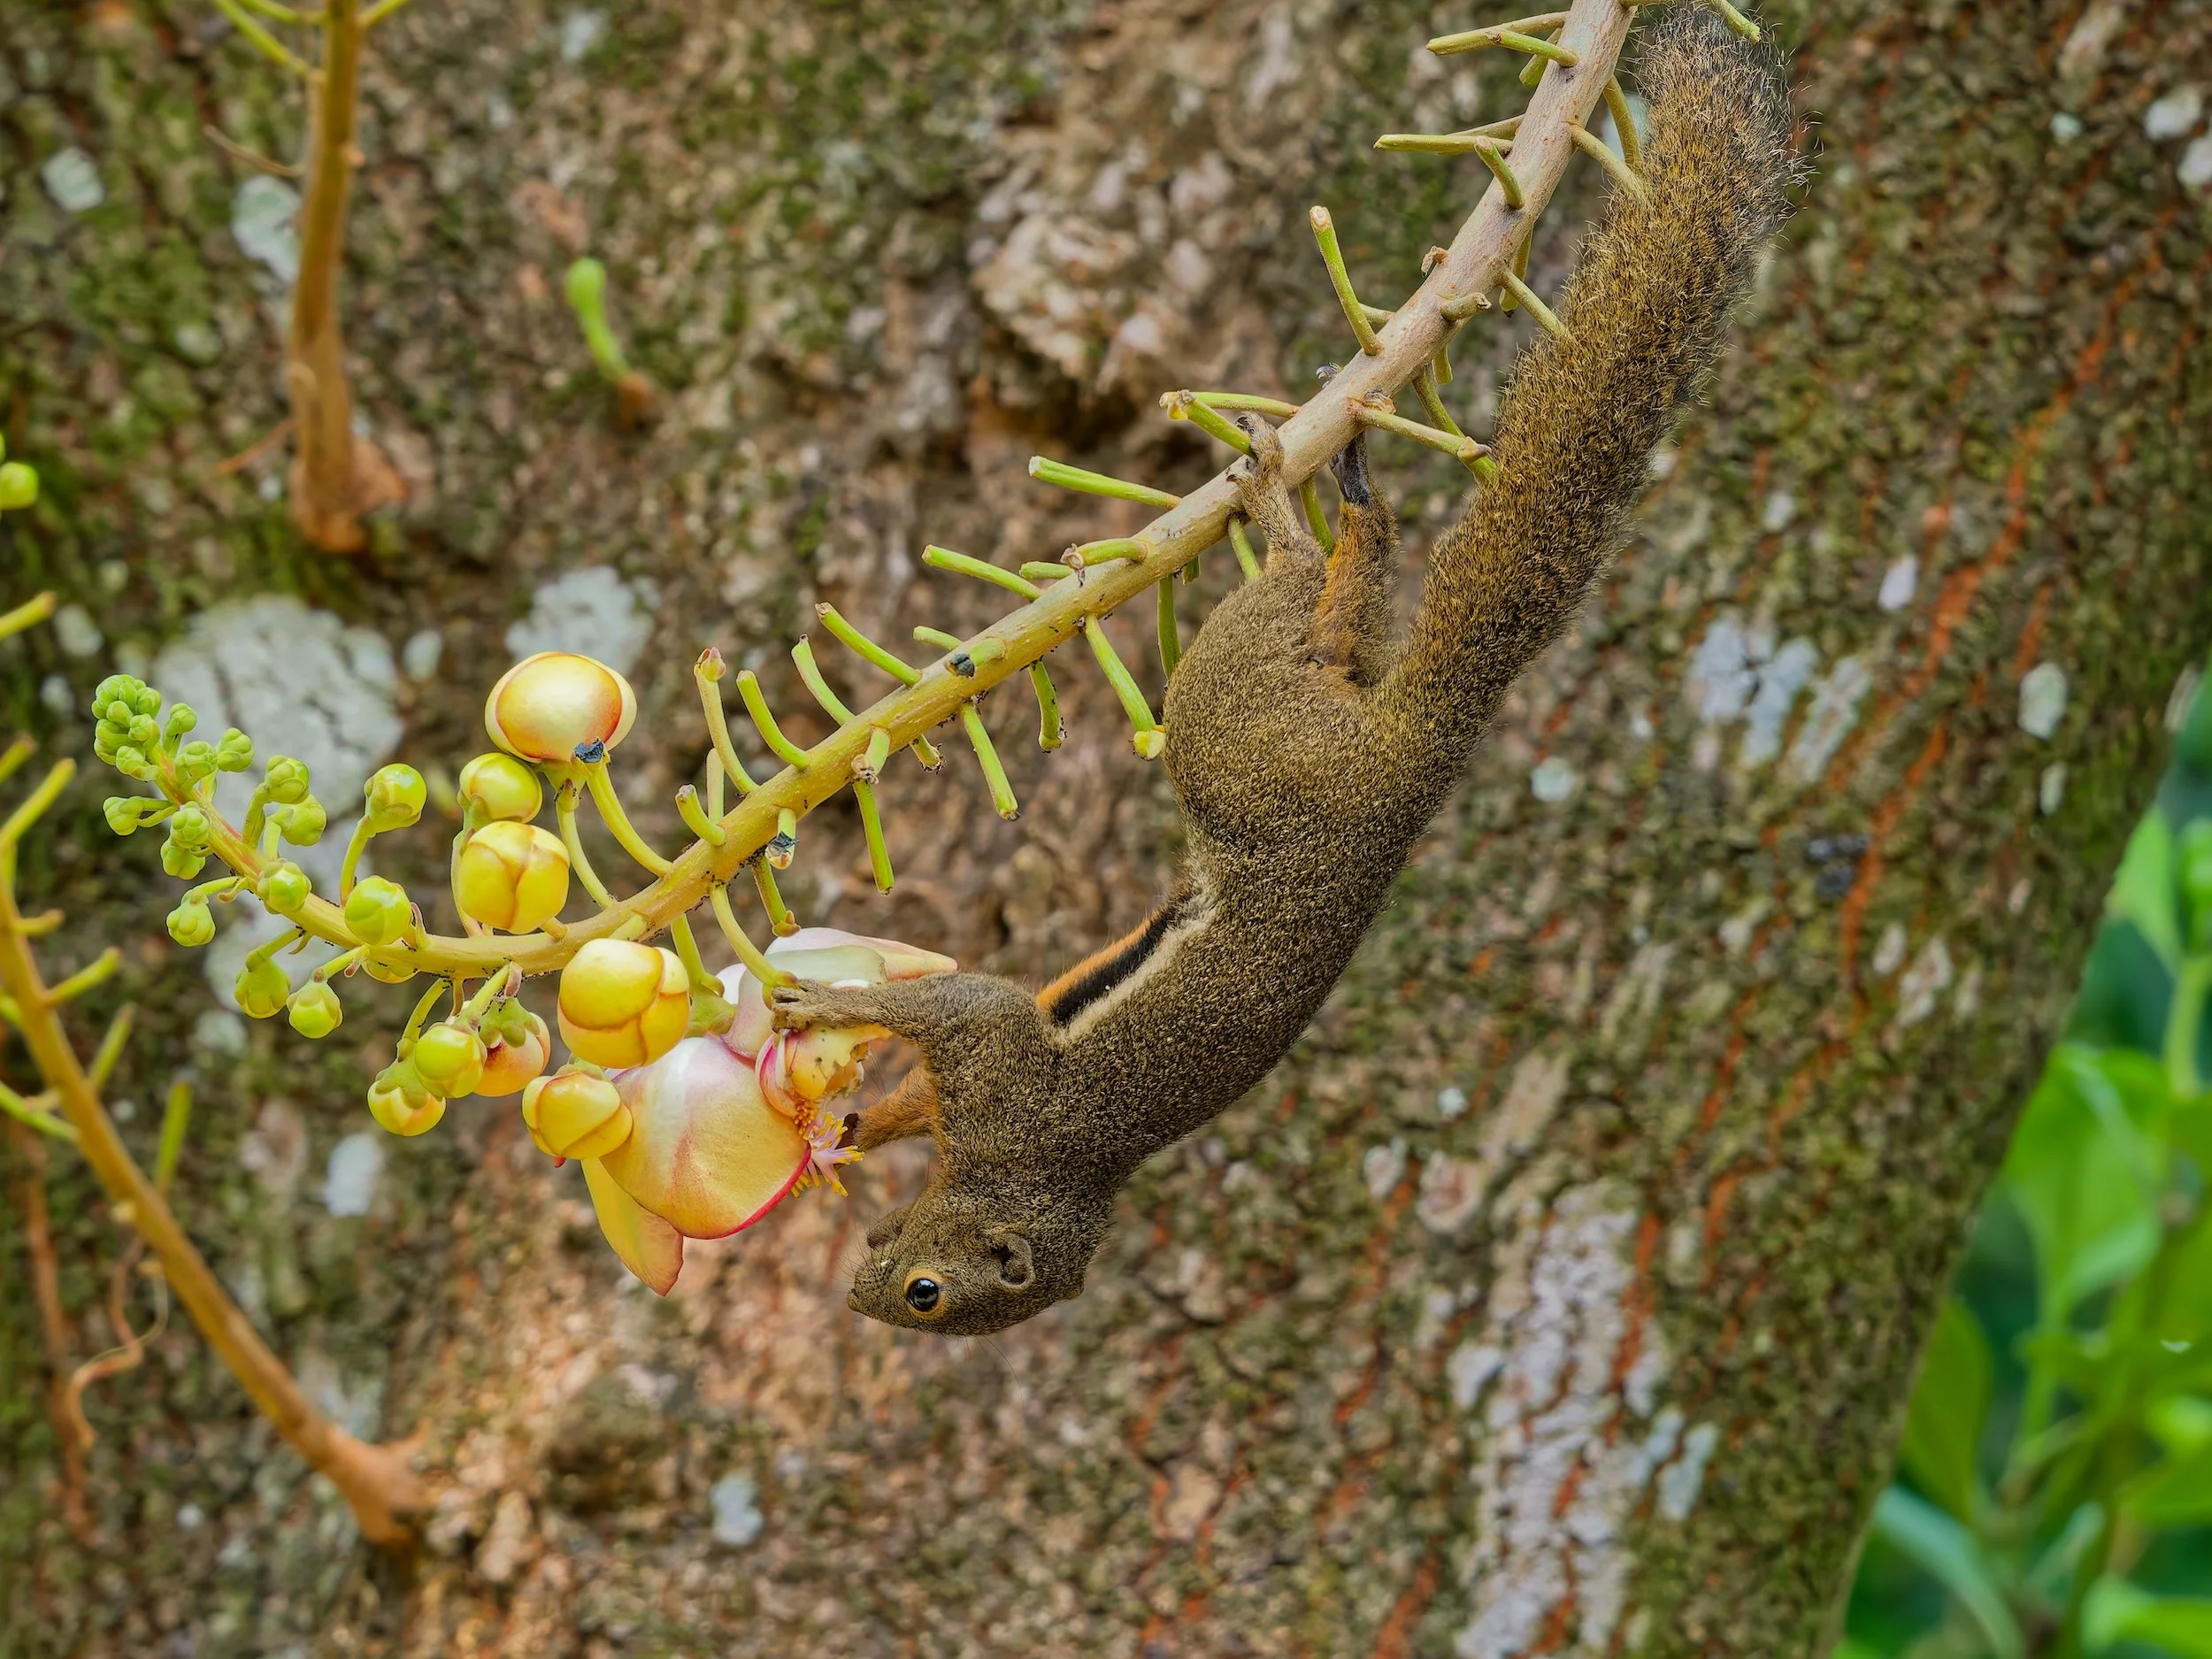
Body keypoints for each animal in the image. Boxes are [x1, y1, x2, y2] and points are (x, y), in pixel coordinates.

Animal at [771, 9, 1800, 1335]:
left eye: (929, 1294)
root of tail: (1413, 758)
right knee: (1340, 598)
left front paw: (829, 1020)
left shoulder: (1005, 1072)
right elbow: (934, 1062)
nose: (859, 1294)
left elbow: (959, 1008)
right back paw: (1333, 499)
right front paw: (862, 1102)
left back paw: (1284, 507)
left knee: (1280, 615)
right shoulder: (995, 1074)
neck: (1044, 1171)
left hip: (1236, 730)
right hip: (1283, 690)